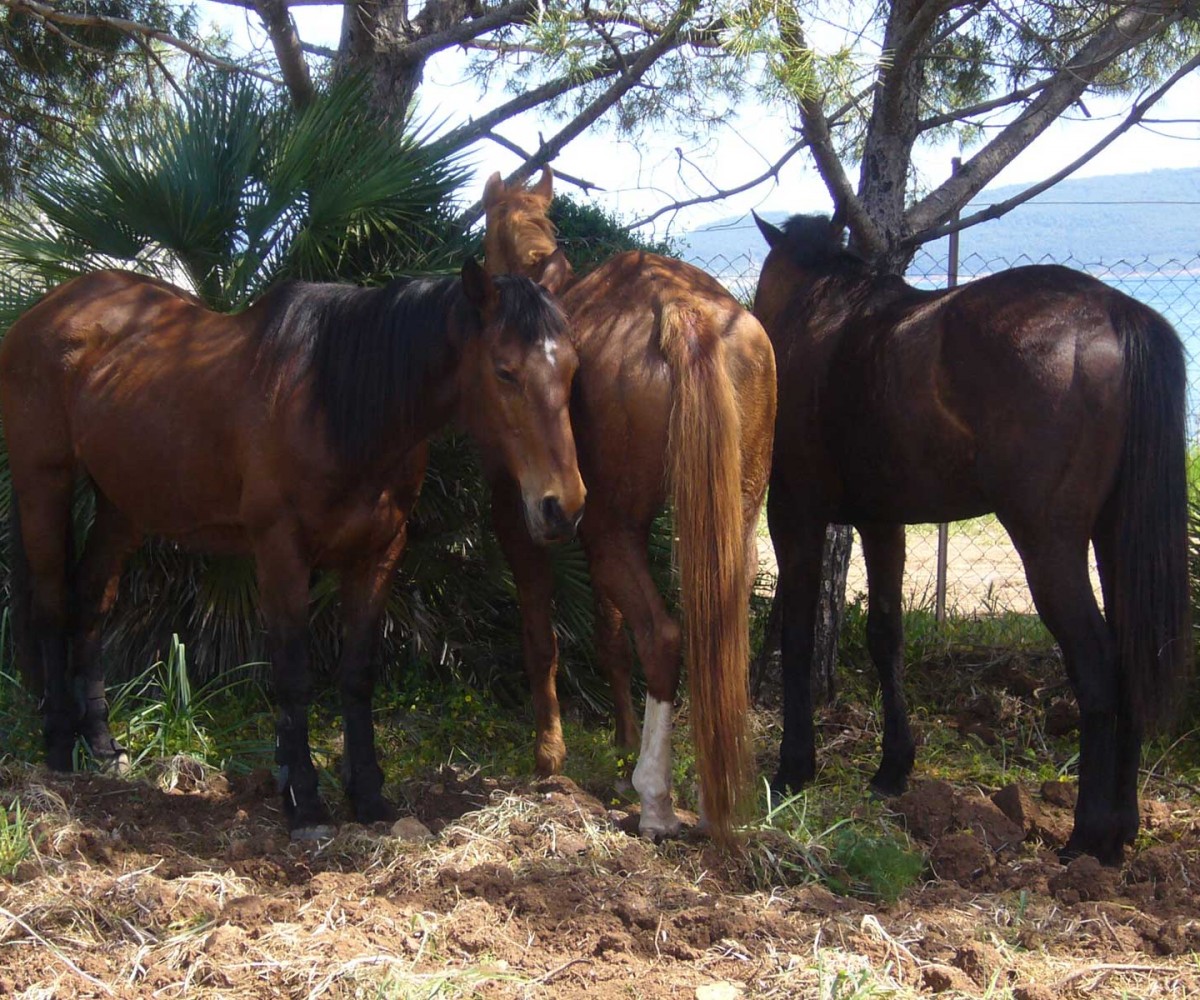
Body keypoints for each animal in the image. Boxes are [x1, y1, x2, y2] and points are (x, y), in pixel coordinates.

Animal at [0, 261, 580, 840]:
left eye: (573, 368)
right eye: (504, 371)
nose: (563, 506)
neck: (336, 402)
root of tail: (45, 310)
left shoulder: (378, 553)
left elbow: (357, 674)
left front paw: (368, 796)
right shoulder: (281, 551)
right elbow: (294, 673)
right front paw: (305, 801)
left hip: (122, 504)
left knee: (91, 602)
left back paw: (102, 747)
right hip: (43, 482)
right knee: (52, 606)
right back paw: (59, 752)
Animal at [480, 171, 777, 845]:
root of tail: (683, 312)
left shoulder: (525, 525)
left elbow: (542, 637)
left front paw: (550, 757)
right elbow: (610, 637)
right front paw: (620, 744)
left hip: (614, 532)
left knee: (662, 636)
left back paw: (656, 801)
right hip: (722, 524)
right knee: (710, 629)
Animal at [753, 214, 1185, 864]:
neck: (819, 314)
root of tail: (1114, 312)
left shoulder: (796, 514)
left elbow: (798, 637)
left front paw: (793, 767)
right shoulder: (881, 521)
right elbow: (886, 636)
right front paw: (892, 768)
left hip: (1048, 543)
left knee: (1096, 664)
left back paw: (1086, 835)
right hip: (1115, 537)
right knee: (1132, 657)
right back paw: (1121, 833)